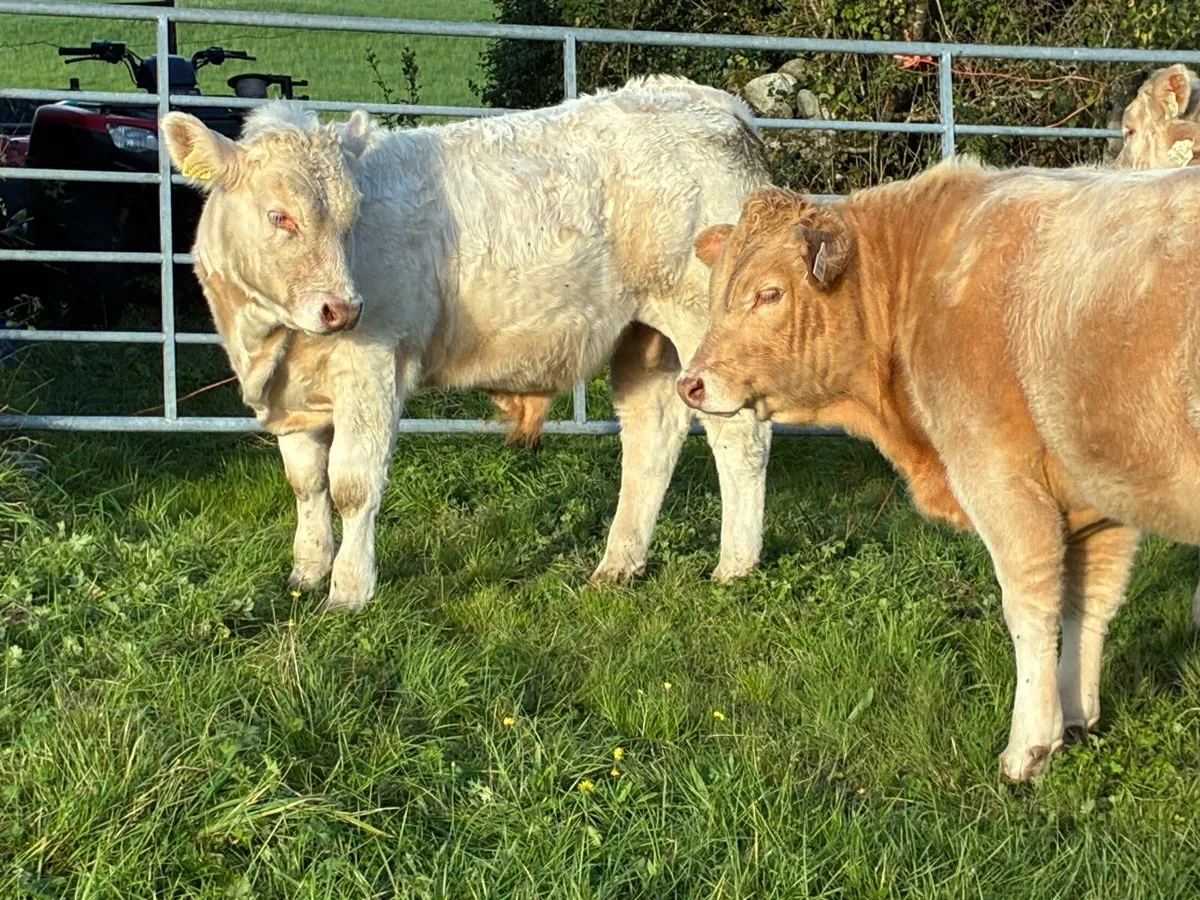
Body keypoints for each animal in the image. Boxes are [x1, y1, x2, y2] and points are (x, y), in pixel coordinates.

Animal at [161, 76, 773, 613]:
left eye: (350, 218)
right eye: (278, 215)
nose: (344, 308)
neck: (270, 342)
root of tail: (708, 103)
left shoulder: (372, 369)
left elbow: (352, 484)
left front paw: (348, 591)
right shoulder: (291, 396)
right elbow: (307, 482)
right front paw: (306, 572)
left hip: (704, 322)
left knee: (740, 436)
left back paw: (735, 567)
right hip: (643, 337)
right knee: (652, 434)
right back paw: (618, 565)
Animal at [678, 160, 1200, 780]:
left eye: (769, 293)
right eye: (716, 294)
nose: (689, 384)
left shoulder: (999, 477)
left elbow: (1030, 609)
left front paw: (1029, 746)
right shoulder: (1101, 496)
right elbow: (1089, 603)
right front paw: (1075, 715)